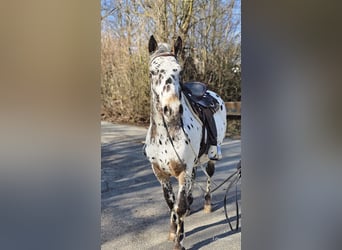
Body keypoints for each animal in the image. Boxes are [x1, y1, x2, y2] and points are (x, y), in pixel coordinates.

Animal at [144, 35, 227, 250]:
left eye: (179, 71)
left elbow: (178, 207)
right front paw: (173, 231)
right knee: (194, 176)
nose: (172, 109)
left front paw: (179, 242)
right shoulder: (160, 174)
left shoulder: (182, 170)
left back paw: (207, 203)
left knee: (208, 174)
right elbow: (170, 204)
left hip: (210, 157)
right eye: (153, 72)